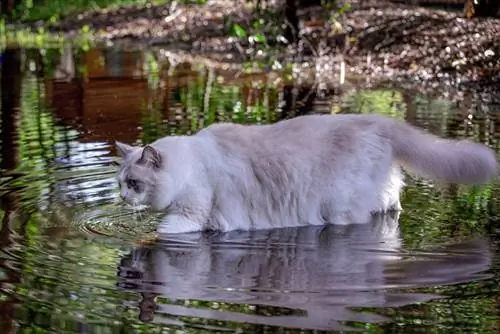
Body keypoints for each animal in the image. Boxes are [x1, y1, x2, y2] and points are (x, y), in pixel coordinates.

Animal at [114, 113, 496, 234]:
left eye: (134, 183)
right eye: (121, 183)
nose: (121, 196)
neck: (191, 163)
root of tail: (378, 120)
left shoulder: (189, 215)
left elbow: (159, 233)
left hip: (341, 208)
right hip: (381, 195)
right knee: (392, 207)